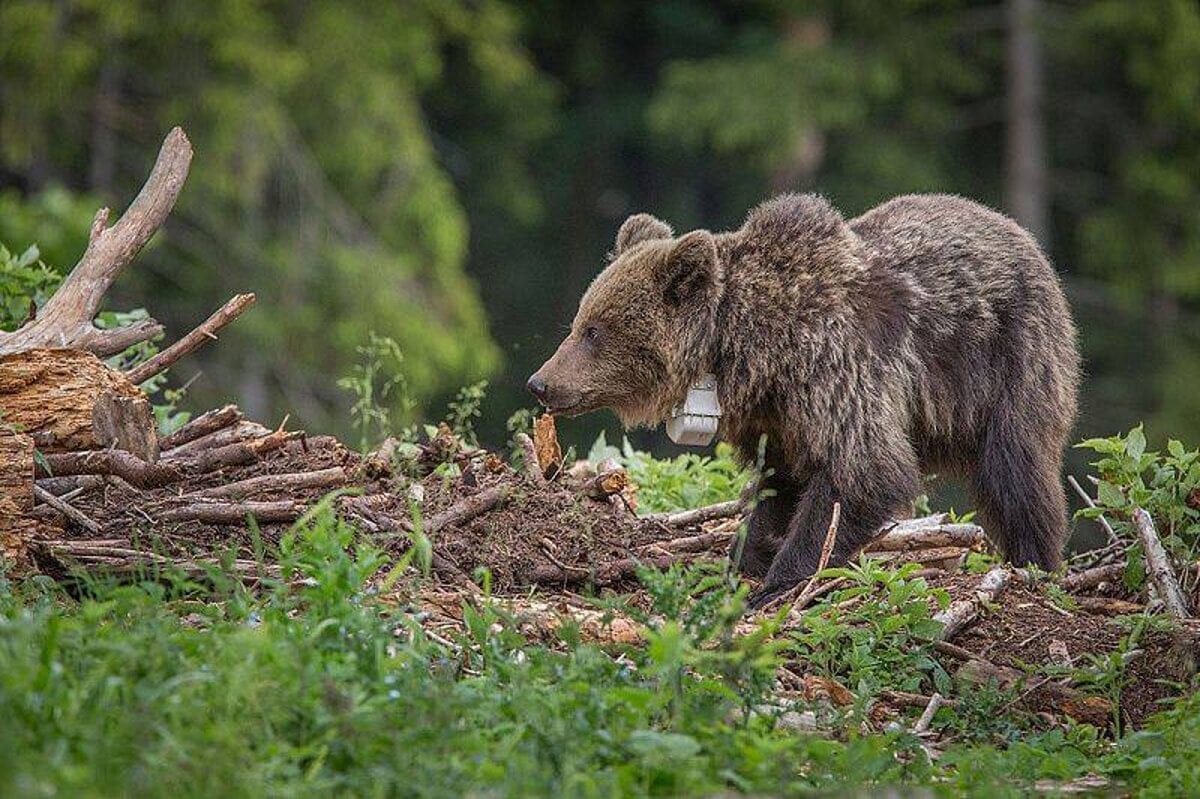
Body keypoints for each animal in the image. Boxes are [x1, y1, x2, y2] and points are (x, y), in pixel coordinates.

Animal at [530, 193, 1084, 604]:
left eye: (595, 331)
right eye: (580, 322)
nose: (540, 382)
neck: (753, 350)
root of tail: (1024, 237)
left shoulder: (836, 371)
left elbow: (862, 473)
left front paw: (779, 583)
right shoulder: (776, 417)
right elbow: (778, 485)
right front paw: (741, 560)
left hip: (1011, 359)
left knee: (1015, 468)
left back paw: (1034, 564)